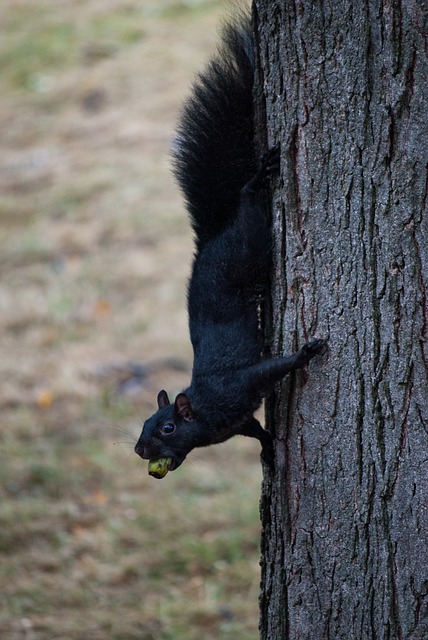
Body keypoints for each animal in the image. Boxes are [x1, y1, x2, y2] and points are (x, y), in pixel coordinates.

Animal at [134, 12, 324, 472]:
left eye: (168, 428)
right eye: (144, 424)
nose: (138, 450)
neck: (204, 413)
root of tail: (210, 239)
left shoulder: (238, 387)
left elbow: (275, 367)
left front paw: (306, 353)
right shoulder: (237, 421)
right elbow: (256, 431)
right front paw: (269, 451)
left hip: (248, 245)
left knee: (249, 206)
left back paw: (257, 180)